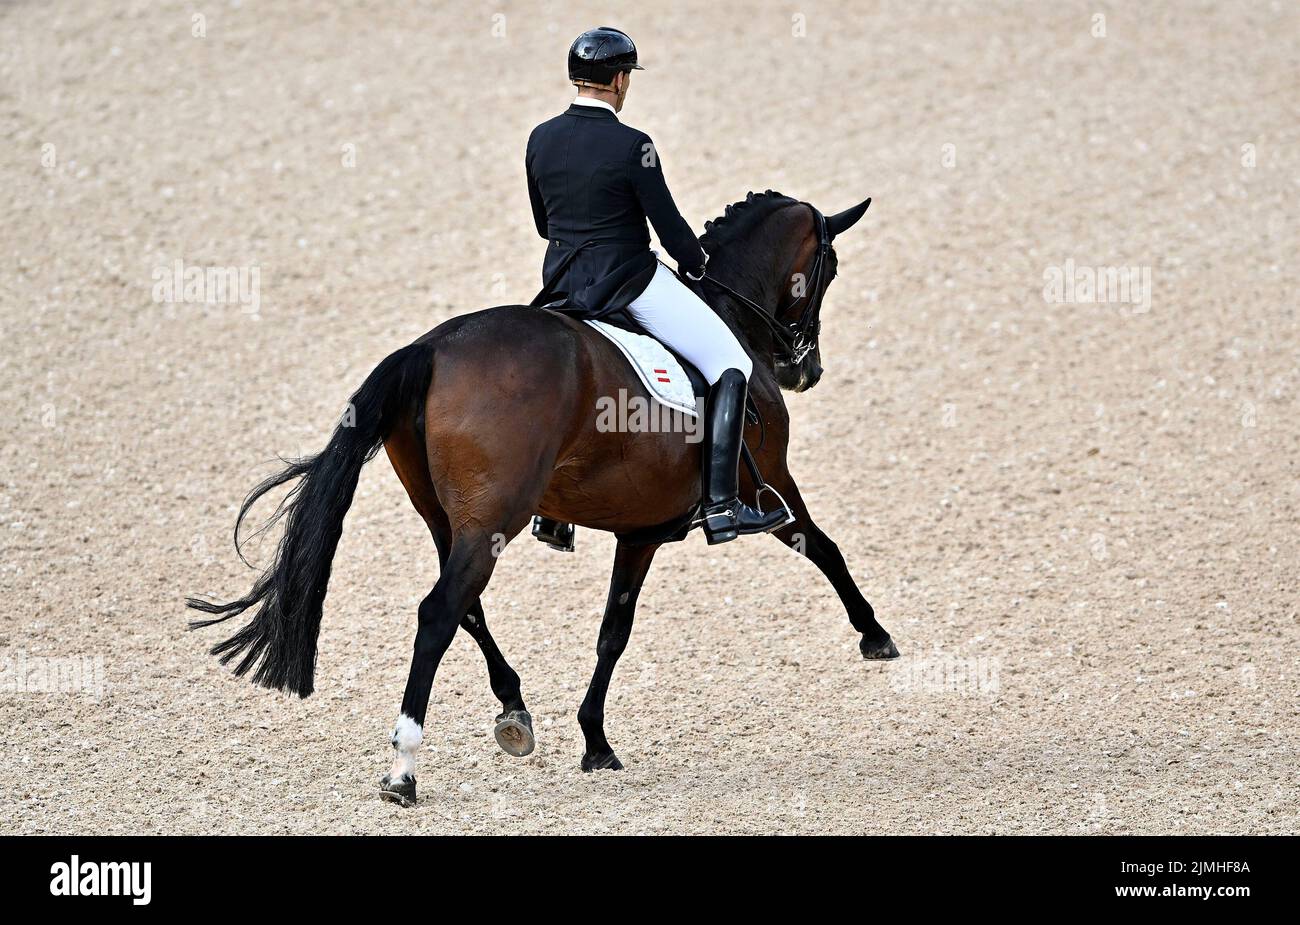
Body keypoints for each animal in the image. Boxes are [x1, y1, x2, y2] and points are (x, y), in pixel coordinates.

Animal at [188, 189, 899, 810]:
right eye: (829, 269)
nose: (804, 370)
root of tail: (432, 348)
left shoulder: (637, 531)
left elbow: (611, 632)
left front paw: (593, 741)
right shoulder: (760, 485)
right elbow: (821, 549)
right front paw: (876, 635)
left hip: (452, 519)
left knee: (465, 607)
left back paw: (513, 712)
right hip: (491, 519)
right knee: (440, 612)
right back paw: (403, 770)